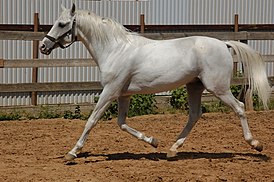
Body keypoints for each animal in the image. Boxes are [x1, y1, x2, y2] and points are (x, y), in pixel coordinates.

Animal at [39, 3, 270, 161]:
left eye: (61, 24)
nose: (43, 46)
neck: (115, 49)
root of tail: (224, 44)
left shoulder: (110, 91)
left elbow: (92, 120)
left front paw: (72, 153)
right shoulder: (124, 94)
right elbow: (122, 123)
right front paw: (153, 141)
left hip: (218, 88)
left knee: (239, 107)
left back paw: (255, 144)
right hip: (194, 86)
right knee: (194, 115)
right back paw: (172, 149)